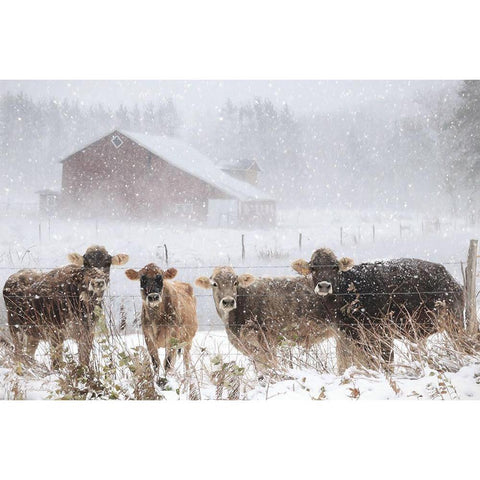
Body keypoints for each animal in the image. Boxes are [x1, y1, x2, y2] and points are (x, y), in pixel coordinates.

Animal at [292, 249, 464, 374]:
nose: (324, 286)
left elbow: (386, 362)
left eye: (335, 267)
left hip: (455, 324)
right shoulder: (352, 335)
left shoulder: (383, 333)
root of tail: (450, 278)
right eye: (313, 268)